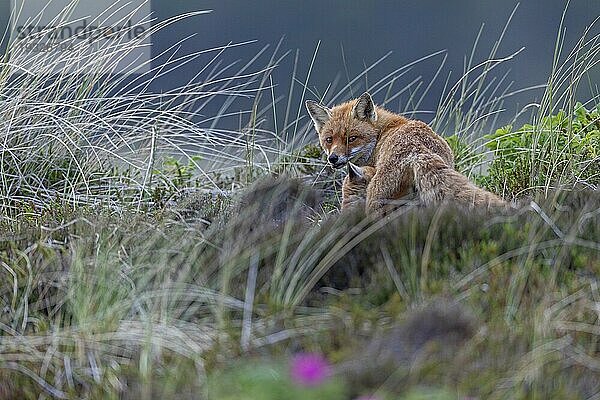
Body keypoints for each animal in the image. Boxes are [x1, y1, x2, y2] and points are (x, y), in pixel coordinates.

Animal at [304, 92, 454, 214]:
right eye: (329, 140)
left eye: (352, 138)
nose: (333, 158)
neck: (380, 134)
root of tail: (417, 151)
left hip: (374, 202)